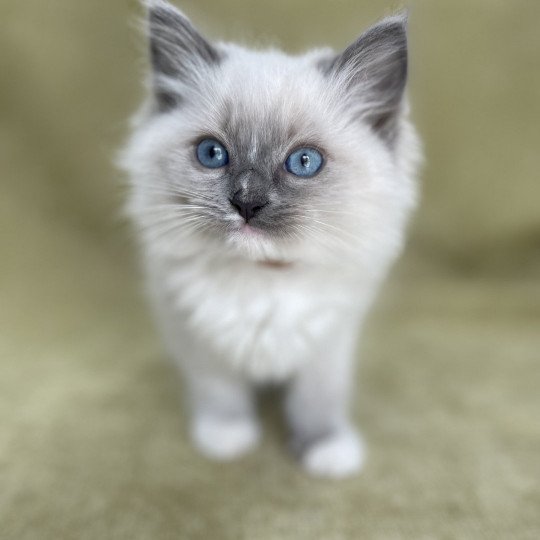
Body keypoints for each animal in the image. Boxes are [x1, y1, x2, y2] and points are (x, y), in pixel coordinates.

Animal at [122, 1, 422, 480]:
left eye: (304, 162)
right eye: (212, 154)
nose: (247, 201)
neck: (264, 277)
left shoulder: (329, 341)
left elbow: (318, 397)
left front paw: (325, 448)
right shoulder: (198, 336)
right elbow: (219, 390)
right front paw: (227, 437)